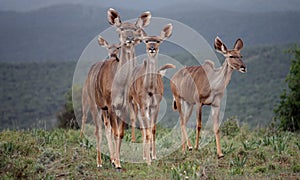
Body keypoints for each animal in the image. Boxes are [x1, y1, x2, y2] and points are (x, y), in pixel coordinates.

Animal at [93, 8, 151, 169]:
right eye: (121, 29)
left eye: (136, 29)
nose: (129, 39)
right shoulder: (111, 105)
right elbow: (115, 133)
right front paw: (117, 163)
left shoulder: (124, 107)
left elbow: (120, 133)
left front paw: (118, 162)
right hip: (97, 105)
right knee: (99, 131)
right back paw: (100, 162)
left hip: (106, 110)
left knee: (107, 129)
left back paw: (112, 158)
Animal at [129, 23, 176, 165]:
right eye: (146, 41)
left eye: (158, 41)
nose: (151, 48)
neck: (149, 88)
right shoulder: (143, 105)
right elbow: (147, 130)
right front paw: (148, 161)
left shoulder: (156, 105)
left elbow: (153, 129)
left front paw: (154, 156)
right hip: (135, 105)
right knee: (143, 128)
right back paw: (145, 156)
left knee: (148, 128)